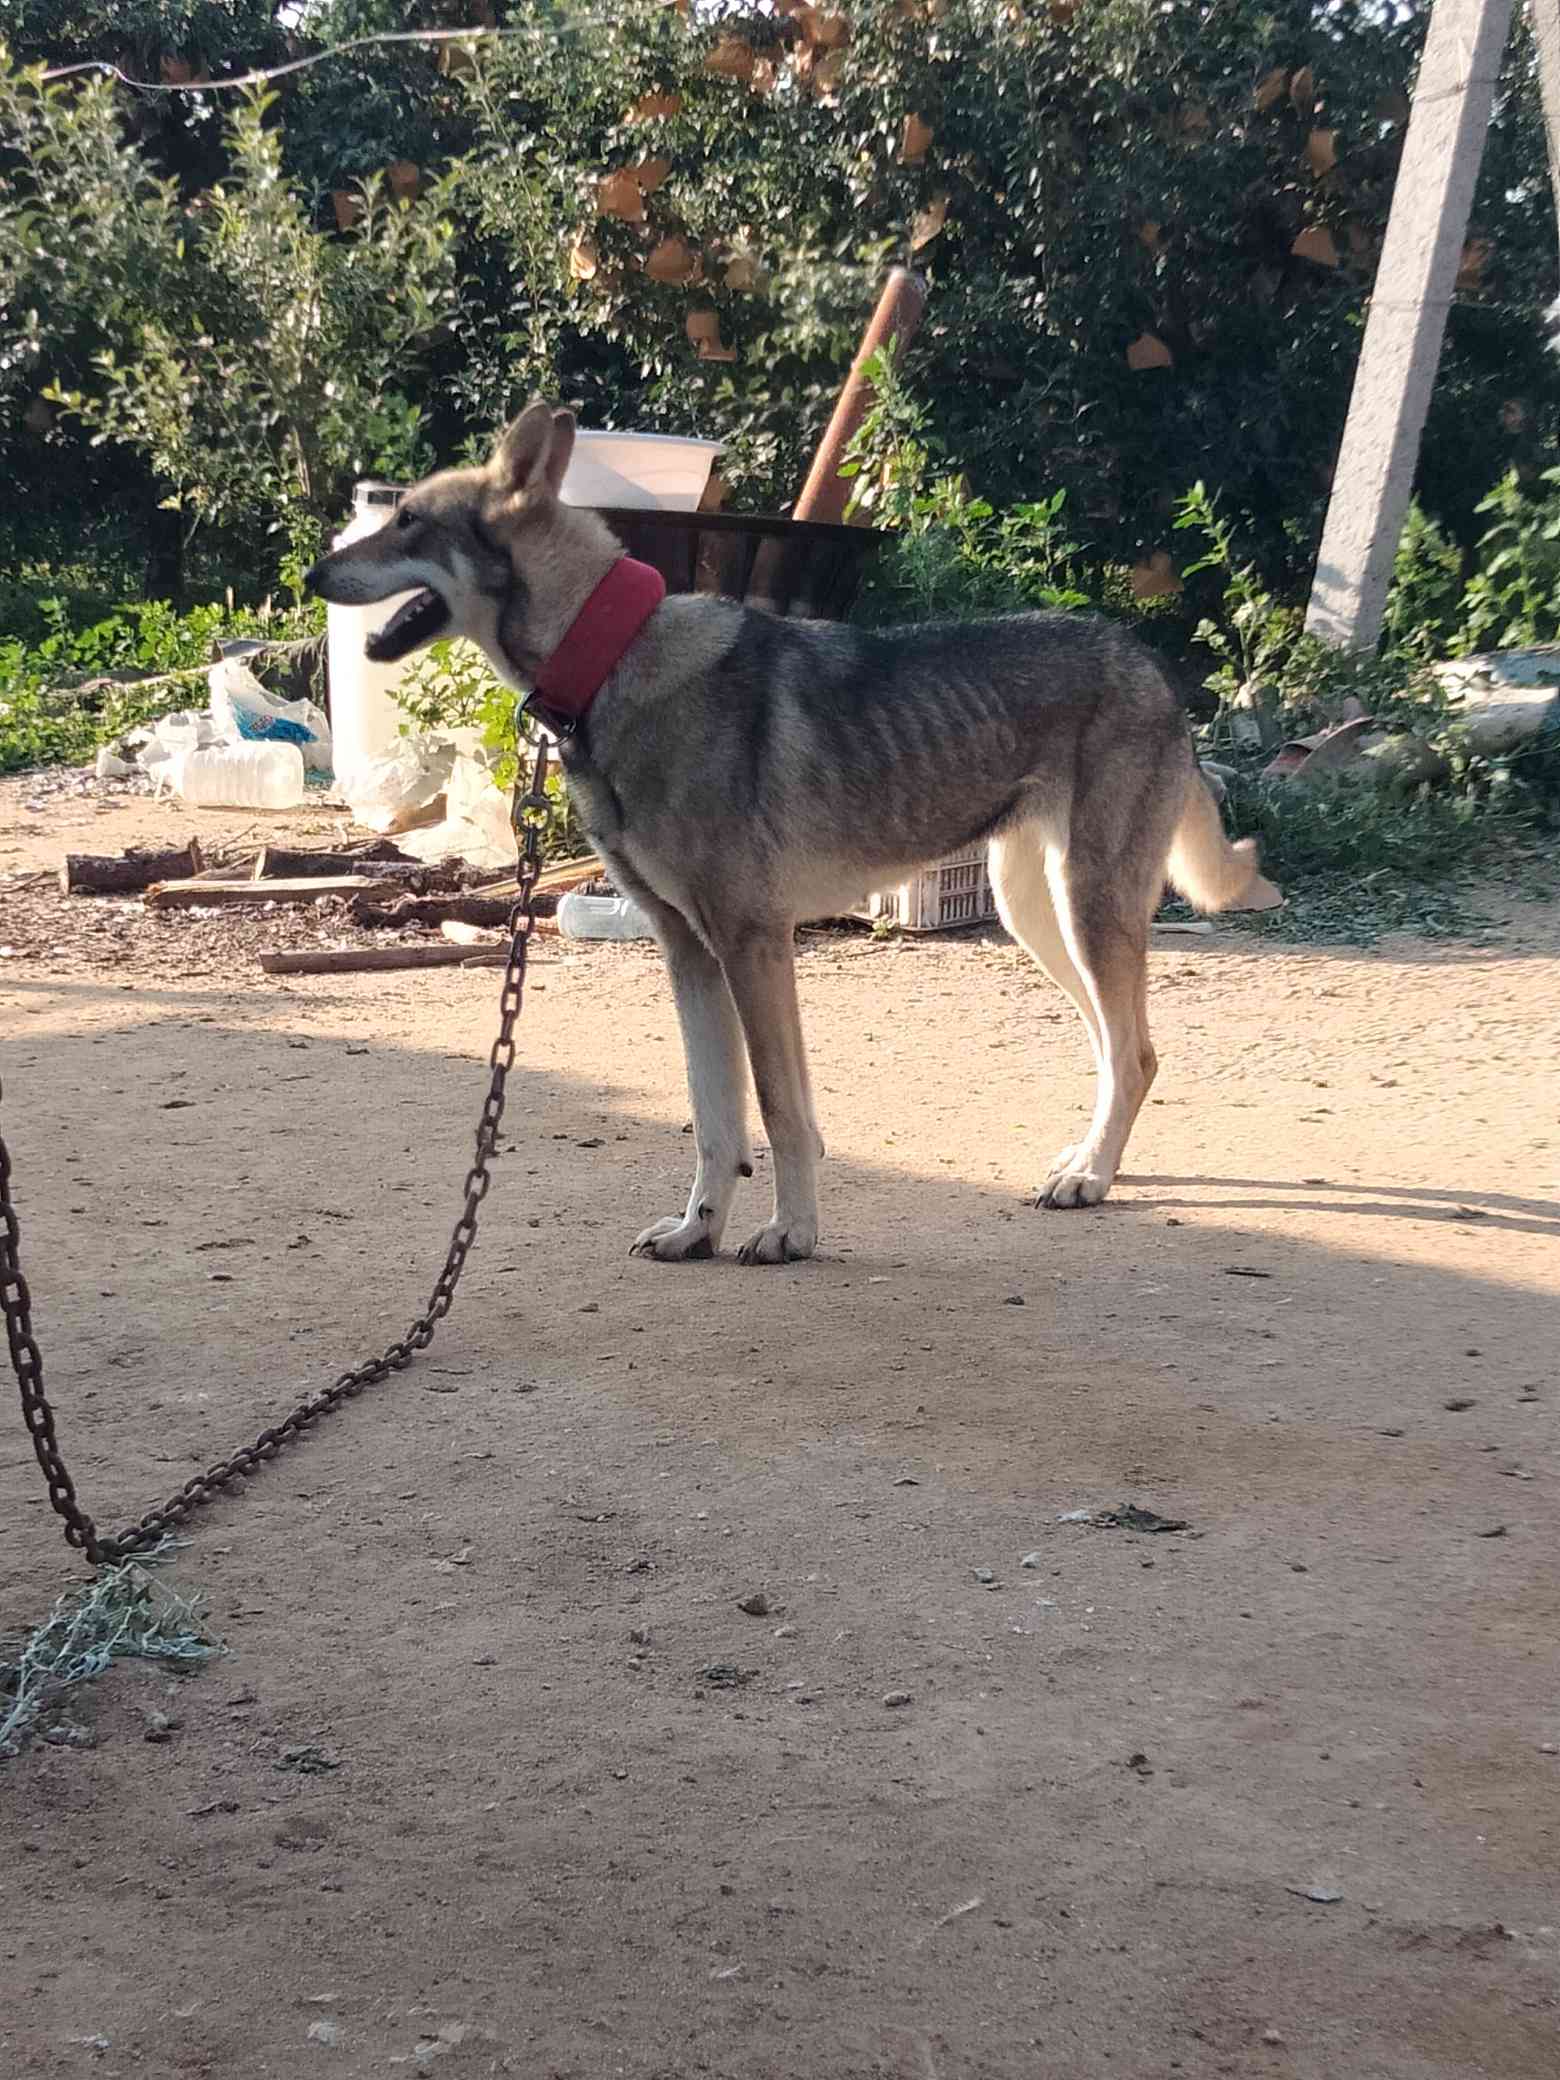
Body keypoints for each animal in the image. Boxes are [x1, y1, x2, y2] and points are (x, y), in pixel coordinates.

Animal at [307, 397, 1281, 1256]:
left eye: (409, 524)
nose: (315, 575)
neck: (613, 657)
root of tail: (1150, 665)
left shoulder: (754, 946)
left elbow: (778, 1111)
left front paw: (792, 1234)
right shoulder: (690, 954)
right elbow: (716, 1118)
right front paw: (698, 1231)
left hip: (1088, 914)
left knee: (1136, 1052)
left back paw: (1090, 1177)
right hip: (1039, 917)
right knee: (1118, 1051)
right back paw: (1089, 1162)